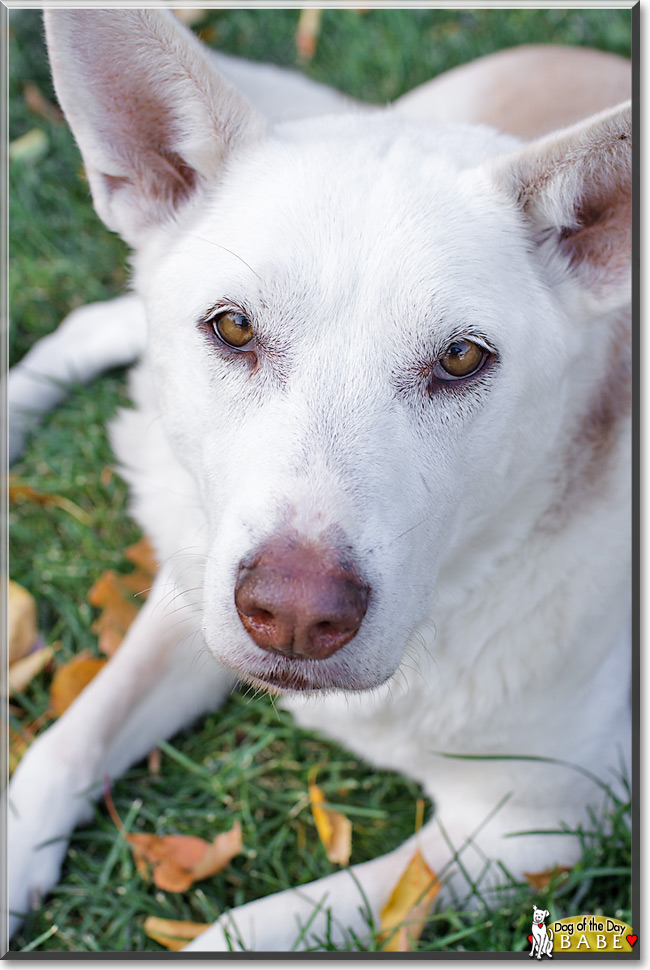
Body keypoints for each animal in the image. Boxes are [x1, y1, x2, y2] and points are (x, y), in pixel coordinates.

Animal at [7, 11, 632, 952]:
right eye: (233, 328)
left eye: (461, 358)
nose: (297, 617)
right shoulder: (195, 587)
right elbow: (65, 745)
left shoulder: (540, 827)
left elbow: (247, 928)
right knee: (100, 320)